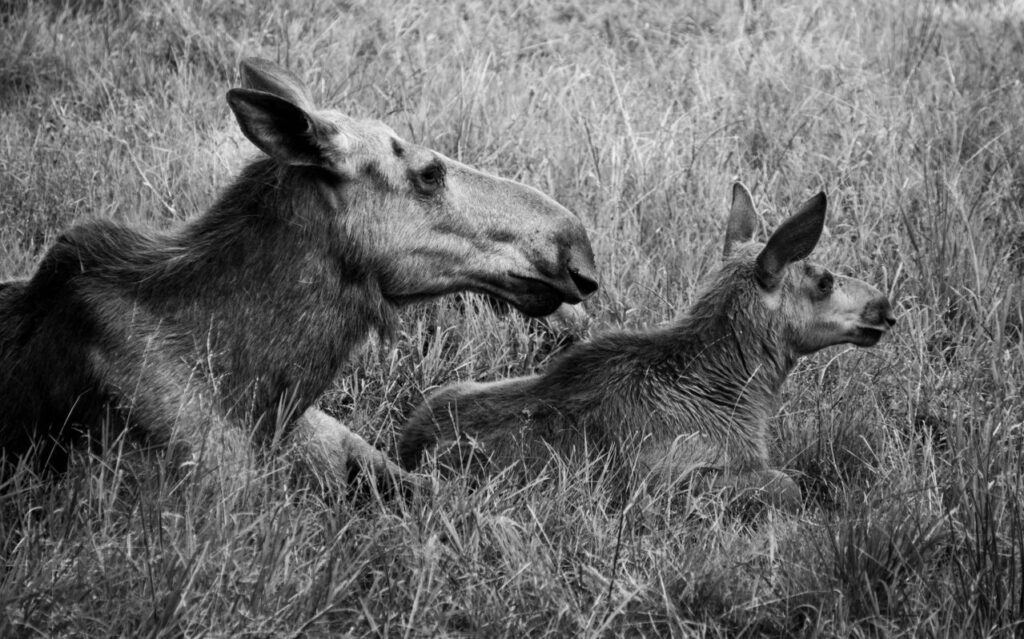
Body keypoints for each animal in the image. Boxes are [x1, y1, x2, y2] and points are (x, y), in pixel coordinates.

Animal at [398, 183, 895, 509]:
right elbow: (790, 486)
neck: (745, 395)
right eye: (825, 280)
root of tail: (406, 447)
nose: (885, 307)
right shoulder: (670, 480)